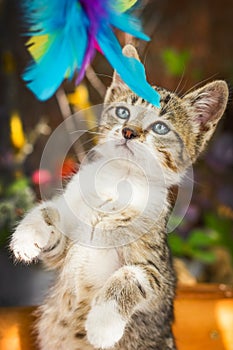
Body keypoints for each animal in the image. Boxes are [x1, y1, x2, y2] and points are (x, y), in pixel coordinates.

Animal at [10, 45, 228, 348]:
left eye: (160, 127)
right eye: (123, 112)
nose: (128, 131)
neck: (116, 184)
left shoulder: (157, 274)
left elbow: (130, 275)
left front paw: (103, 324)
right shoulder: (59, 253)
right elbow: (48, 211)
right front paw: (26, 237)